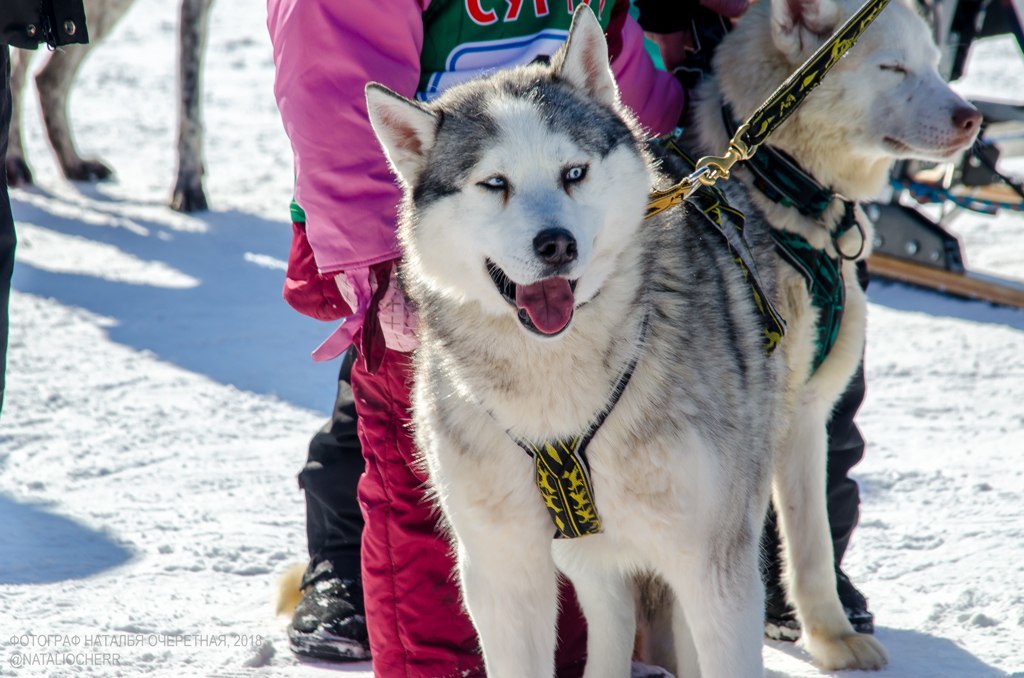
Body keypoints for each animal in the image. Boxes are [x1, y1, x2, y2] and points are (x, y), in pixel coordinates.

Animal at [4, 0, 209, 213]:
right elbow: (189, 103)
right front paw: (189, 187)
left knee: (49, 78)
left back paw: (74, 164)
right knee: (17, 76)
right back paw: (15, 161)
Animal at [688, 0, 983, 671]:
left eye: (934, 64)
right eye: (893, 66)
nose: (972, 117)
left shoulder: (807, 412)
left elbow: (813, 539)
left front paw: (828, 634)